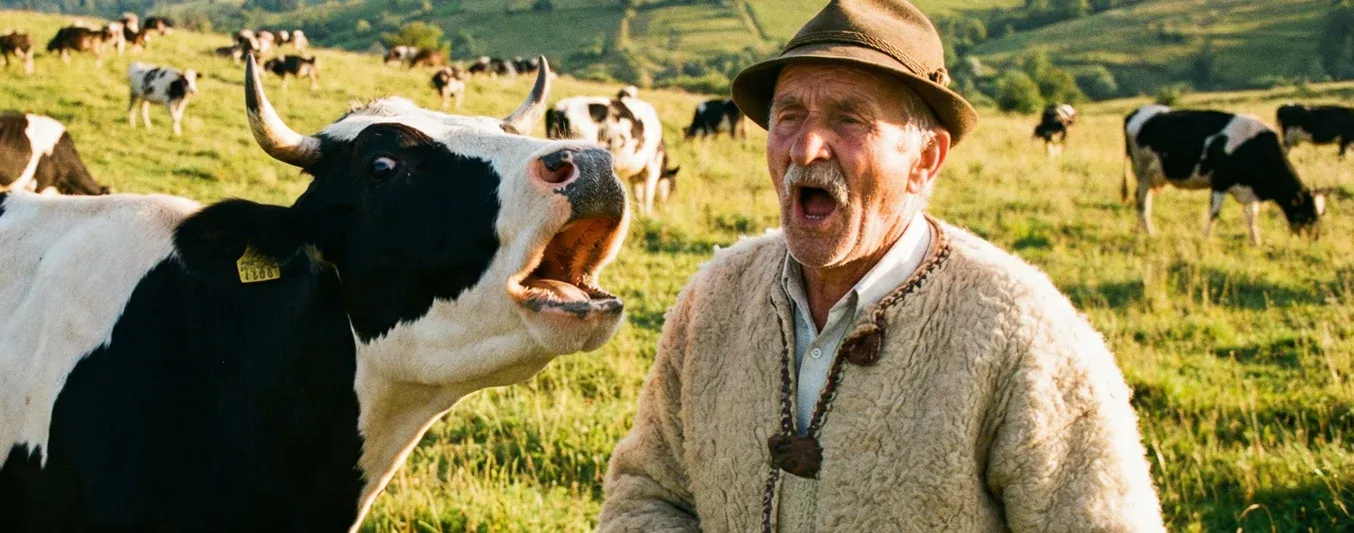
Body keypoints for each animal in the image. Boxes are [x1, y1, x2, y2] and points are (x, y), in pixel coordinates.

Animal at [547, 87, 680, 215]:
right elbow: (648, 196)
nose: (667, 210)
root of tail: (560, 107)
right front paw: (648, 215)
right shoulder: (652, 169)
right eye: (673, 186)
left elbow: (638, 196)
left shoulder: (635, 177)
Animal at [1123, 104, 1326, 245]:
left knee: (1144, 201)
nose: (1316, 238)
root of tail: (1137, 111)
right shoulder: (1219, 182)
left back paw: (1143, 231)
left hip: (1151, 177)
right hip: (1142, 173)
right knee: (1141, 202)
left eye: (1320, 215)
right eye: (1307, 214)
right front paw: (1206, 238)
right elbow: (1214, 213)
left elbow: (1252, 217)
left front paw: (1255, 242)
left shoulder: (1249, 190)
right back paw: (1148, 232)